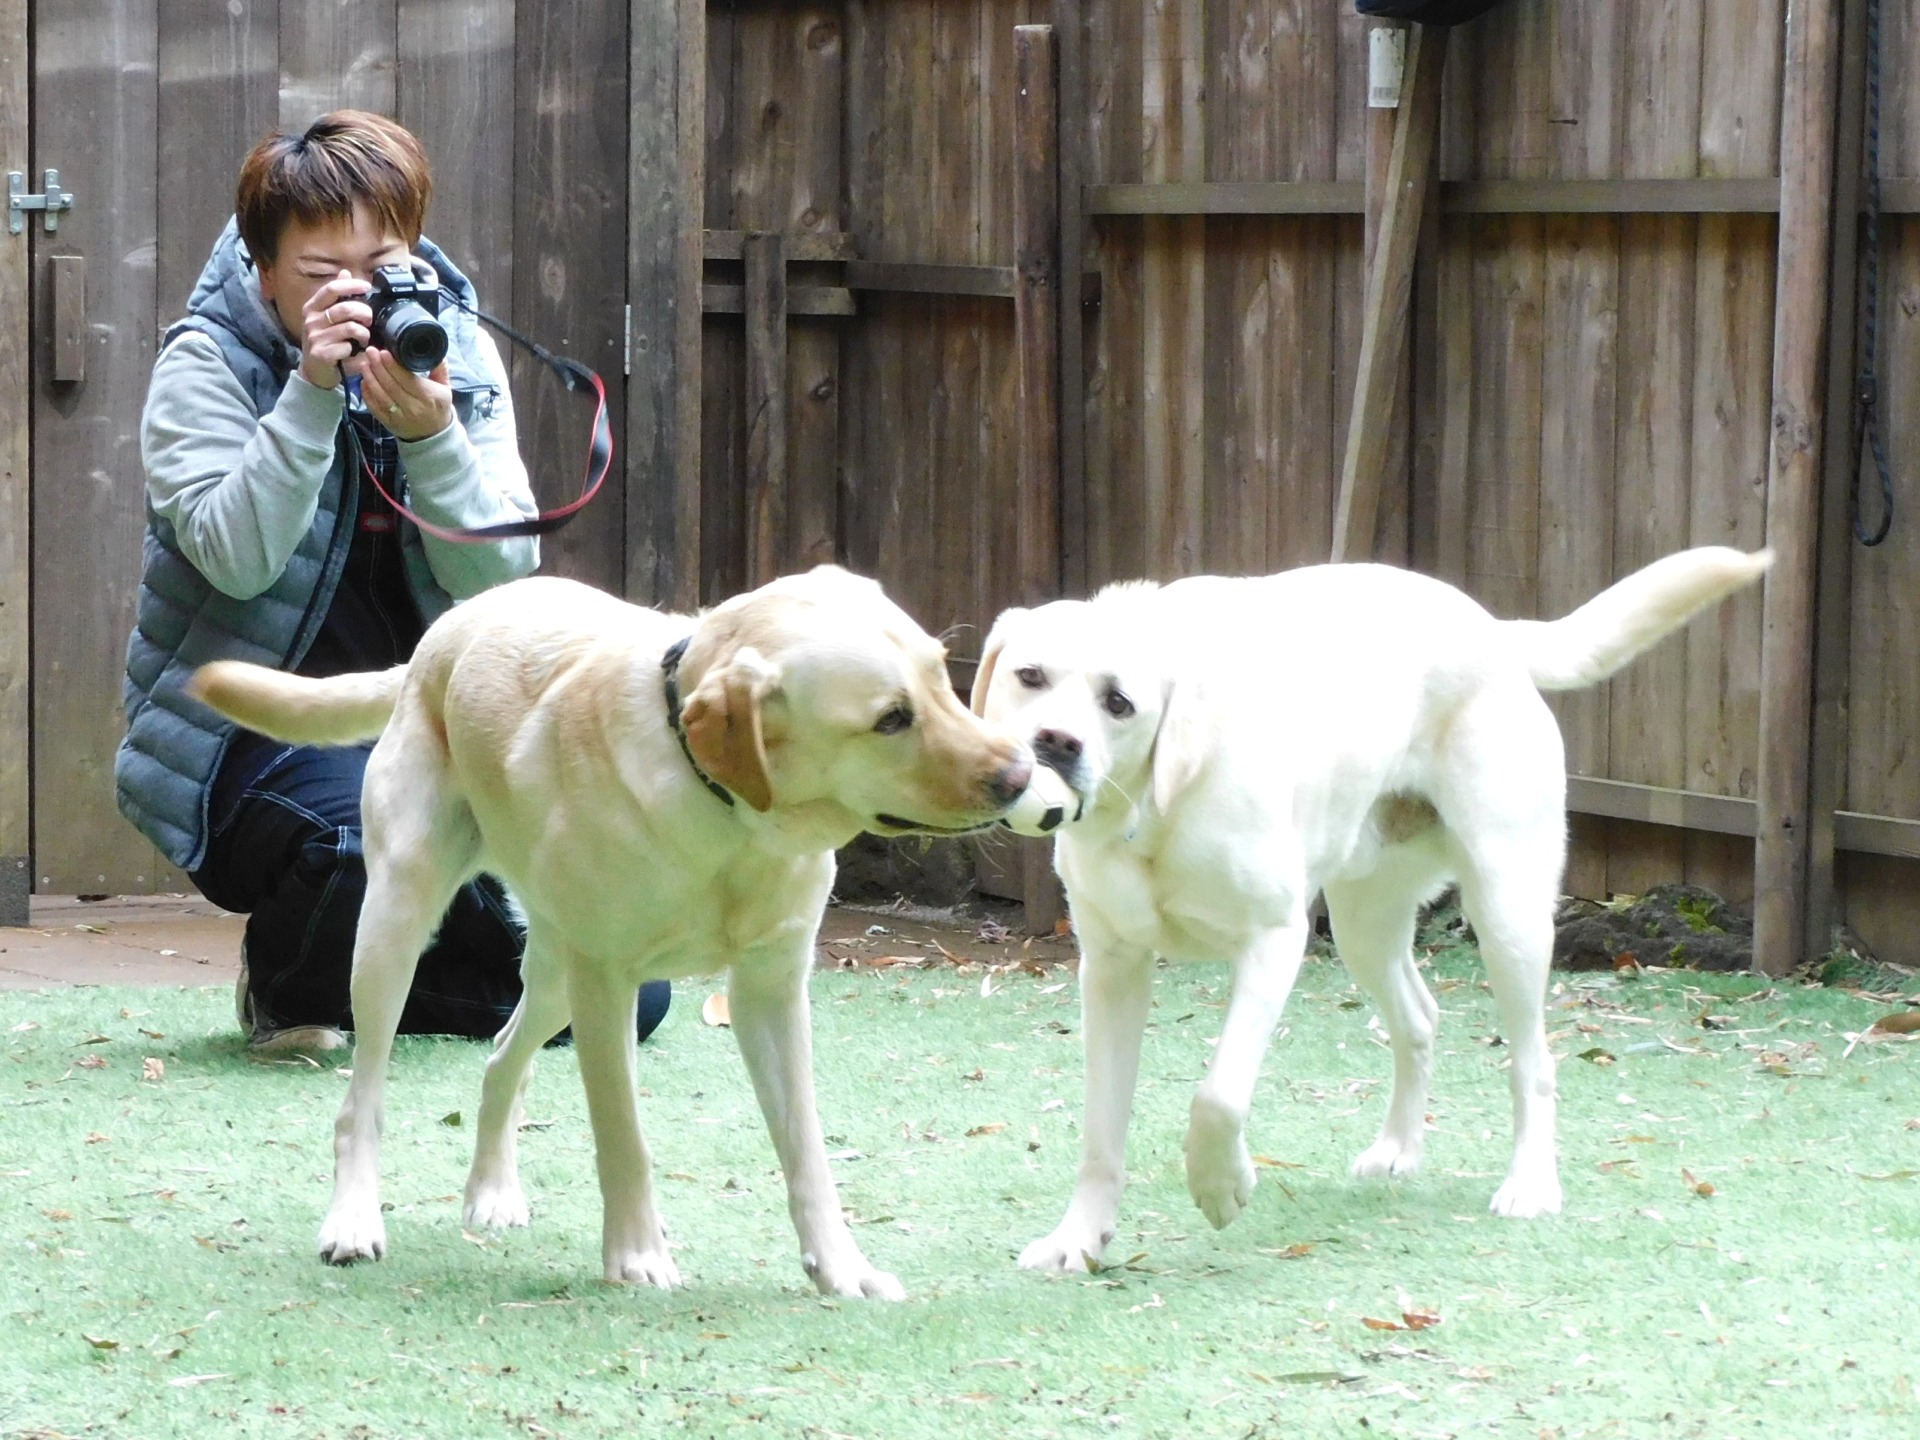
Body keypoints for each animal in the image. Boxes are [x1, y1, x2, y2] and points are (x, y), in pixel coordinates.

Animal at [191, 568, 1036, 1305]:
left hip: (551, 971)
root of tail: (443, 632)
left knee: (501, 1059)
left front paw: (840, 1269)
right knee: (362, 1097)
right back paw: (353, 1220)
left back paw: (491, 1191)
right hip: (398, 927)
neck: (728, 813)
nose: (1022, 777)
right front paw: (635, 1257)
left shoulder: (770, 989)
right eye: (890, 718)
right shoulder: (608, 981)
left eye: (941, 677)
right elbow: (624, 1136)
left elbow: (807, 1152)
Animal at [975, 545, 1766, 1267]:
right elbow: (1101, 1132)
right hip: (1364, 922)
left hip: (1507, 911)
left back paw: (1530, 1184)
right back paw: (1397, 1149)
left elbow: (1219, 1095)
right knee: (1419, 1018)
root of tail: (1494, 629)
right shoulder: (1111, 969)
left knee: (1533, 1060)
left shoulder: (1274, 941)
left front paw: (1221, 1184)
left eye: (1118, 703)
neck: (1159, 800)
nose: (1056, 742)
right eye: (1029, 676)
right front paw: (1078, 1239)